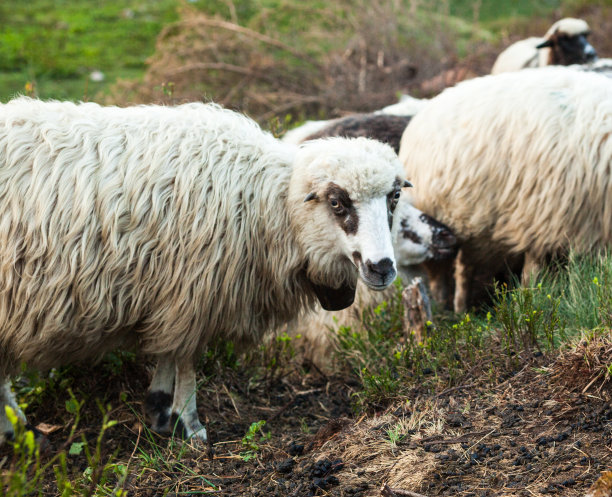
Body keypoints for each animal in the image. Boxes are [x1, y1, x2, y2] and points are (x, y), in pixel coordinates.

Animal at [1, 96, 412, 442]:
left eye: (394, 196)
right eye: (337, 202)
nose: (382, 268)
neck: (266, 203)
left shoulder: (173, 294)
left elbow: (169, 353)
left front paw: (160, 409)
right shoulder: (193, 290)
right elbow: (185, 359)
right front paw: (189, 422)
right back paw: (16, 428)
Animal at [400, 68, 612, 312]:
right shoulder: (544, 225)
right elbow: (535, 277)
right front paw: (529, 303)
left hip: (479, 228)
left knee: (465, 267)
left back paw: (463, 308)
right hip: (434, 219)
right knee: (440, 274)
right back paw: (447, 306)